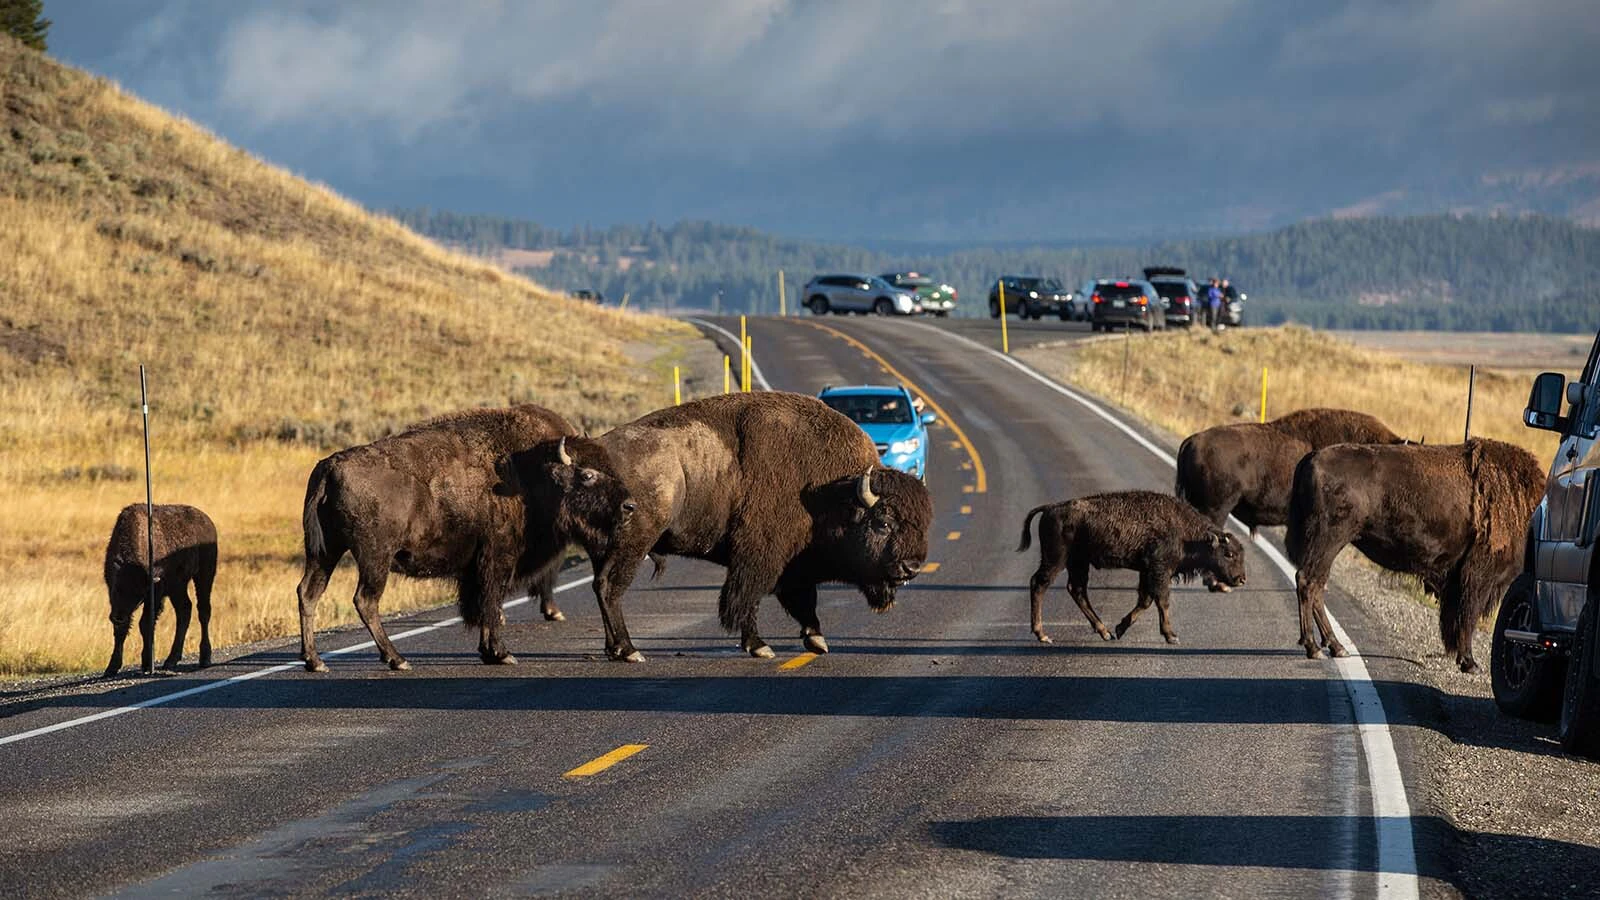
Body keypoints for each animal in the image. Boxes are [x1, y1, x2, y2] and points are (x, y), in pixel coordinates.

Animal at [104, 503, 218, 677]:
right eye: (116, 589)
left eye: (139, 592)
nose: (118, 617)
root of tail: (208, 522)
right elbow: (121, 631)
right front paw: (111, 668)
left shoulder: (155, 594)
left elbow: (145, 624)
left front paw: (146, 663)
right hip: (178, 587)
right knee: (184, 610)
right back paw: (171, 660)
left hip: (204, 576)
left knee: (203, 611)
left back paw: (204, 658)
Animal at [295, 405, 634, 672]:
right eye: (587, 475)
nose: (629, 506)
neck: (529, 471)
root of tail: (331, 465)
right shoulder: (497, 557)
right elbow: (491, 601)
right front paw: (501, 653)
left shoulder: (479, 566)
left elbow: (484, 603)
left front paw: (489, 653)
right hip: (374, 557)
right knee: (365, 600)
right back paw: (397, 659)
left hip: (324, 552)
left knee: (308, 593)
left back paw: (315, 662)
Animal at [570, 391, 933, 661]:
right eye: (883, 523)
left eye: (923, 524)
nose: (911, 567)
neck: (831, 493)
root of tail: (595, 452)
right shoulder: (760, 556)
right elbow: (748, 597)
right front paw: (760, 646)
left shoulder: (793, 565)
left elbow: (802, 601)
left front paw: (816, 640)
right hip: (634, 543)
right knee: (612, 587)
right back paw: (630, 650)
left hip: (604, 549)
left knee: (600, 586)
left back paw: (614, 649)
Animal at [1018, 490, 1247, 644]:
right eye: (1229, 554)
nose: (1241, 579)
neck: (1187, 533)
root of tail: (1050, 507)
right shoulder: (1160, 571)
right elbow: (1162, 601)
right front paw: (1171, 636)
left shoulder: (1147, 572)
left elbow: (1145, 601)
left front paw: (1120, 628)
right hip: (1056, 560)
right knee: (1039, 584)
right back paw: (1042, 635)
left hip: (1078, 563)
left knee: (1077, 590)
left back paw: (1105, 631)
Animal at [1286, 437, 1544, 672]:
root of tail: (1311, 458)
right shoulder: (1478, 577)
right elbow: (1467, 616)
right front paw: (1469, 663)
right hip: (1329, 540)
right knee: (1308, 582)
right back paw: (1315, 647)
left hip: (1329, 545)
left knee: (1316, 585)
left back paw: (1335, 646)